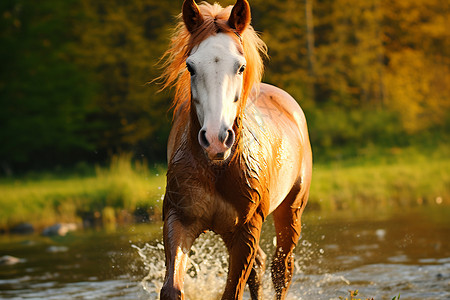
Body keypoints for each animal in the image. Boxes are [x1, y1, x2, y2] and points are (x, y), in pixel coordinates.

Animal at [160, 1, 312, 298]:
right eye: (190, 66)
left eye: (240, 67)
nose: (216, 139)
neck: (218, 168)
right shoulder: (178, 219)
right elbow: (171, 289)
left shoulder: (247, 230)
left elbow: (232, 292)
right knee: (261, 266)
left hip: (291, 210)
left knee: (281, 270)